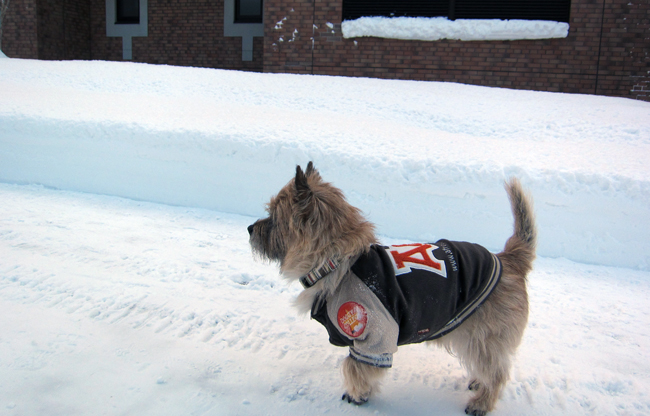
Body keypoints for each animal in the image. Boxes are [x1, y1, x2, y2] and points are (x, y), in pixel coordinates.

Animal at [246, 162, 536, 416]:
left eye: (273, 217)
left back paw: (481, 403)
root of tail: (508, 259)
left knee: (497, 373)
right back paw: (478, 382)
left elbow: (354, 367)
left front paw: (357, 394)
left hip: (484, 337)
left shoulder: (373, 335)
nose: (249, 228)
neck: (337, 262)